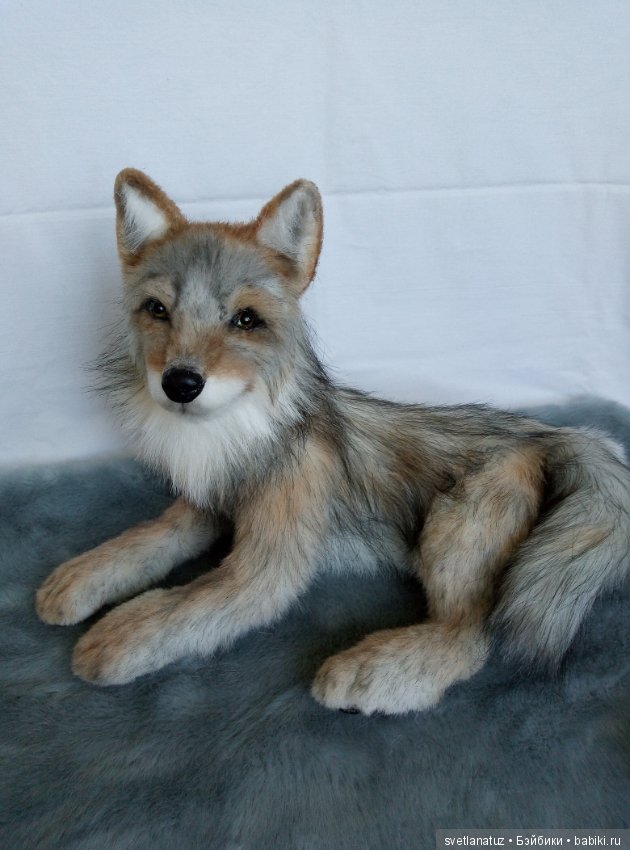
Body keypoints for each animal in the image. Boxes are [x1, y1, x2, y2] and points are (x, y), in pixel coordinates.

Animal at [36, 169, 630, 715]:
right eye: (158, 309)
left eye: (245, 320)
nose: (180, 384)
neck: (237, 439)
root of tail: (546, 434)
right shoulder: (202, 509)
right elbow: (143, 539)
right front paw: (82, 576)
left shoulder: (262, 570)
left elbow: (175, 607)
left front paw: (114, 638)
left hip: (450, 536)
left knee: (469, 634)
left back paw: (374, 672)